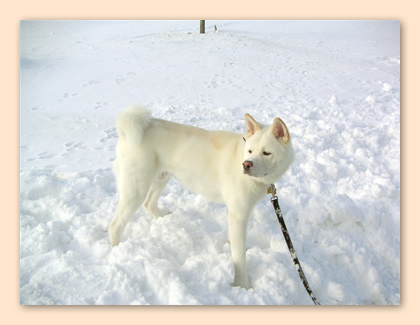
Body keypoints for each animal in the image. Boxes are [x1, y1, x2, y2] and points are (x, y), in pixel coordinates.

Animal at [108, 105, 294, 288]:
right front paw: (242, 285)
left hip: (161, 178)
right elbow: (239, 256)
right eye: (250, 150)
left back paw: (163, 218)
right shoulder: (238, 214)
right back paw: (117, 249)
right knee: (115, 224)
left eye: (267, 153)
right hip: (136, 189)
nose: (246, 164)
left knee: (149, 204)